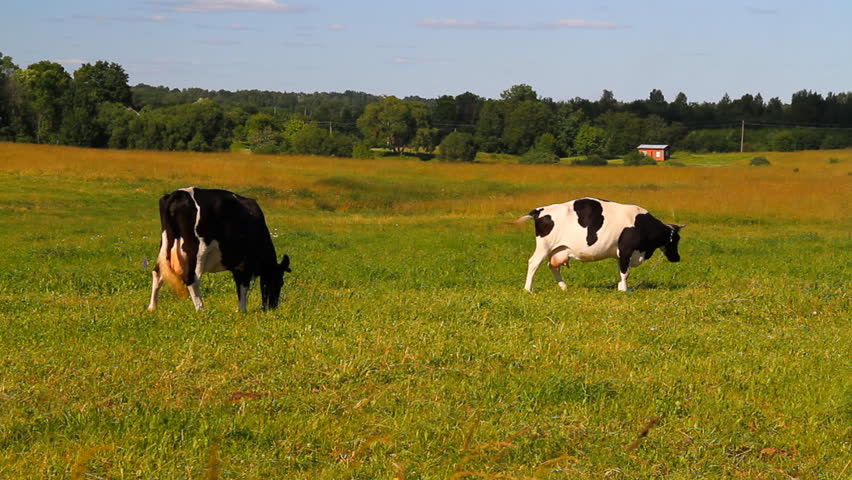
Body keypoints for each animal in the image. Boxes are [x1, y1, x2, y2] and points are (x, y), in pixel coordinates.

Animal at [147, 187, 291, 313]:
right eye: (280, 282)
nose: (272, 307)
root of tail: (179, 193)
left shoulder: (237, 265)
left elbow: (239, 286)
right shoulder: (246, 263)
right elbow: (243, 286)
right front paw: (242, 310)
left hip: (165, 244)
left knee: (157, 272)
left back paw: (152, 307)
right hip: (197, 251)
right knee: (192, 279)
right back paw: (201, 309)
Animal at [514, 197, 685, 292]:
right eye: (676, 239)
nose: (677, 258)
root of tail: (541, 210)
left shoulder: (620, 254)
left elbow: (620, 271)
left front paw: (619, 288)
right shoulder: (626, 251)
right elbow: (625, 272)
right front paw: (624, 290)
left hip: (558, 249)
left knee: (553, 266)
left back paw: (564, 287)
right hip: (544, 246)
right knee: (534, 263)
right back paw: (528, 289)